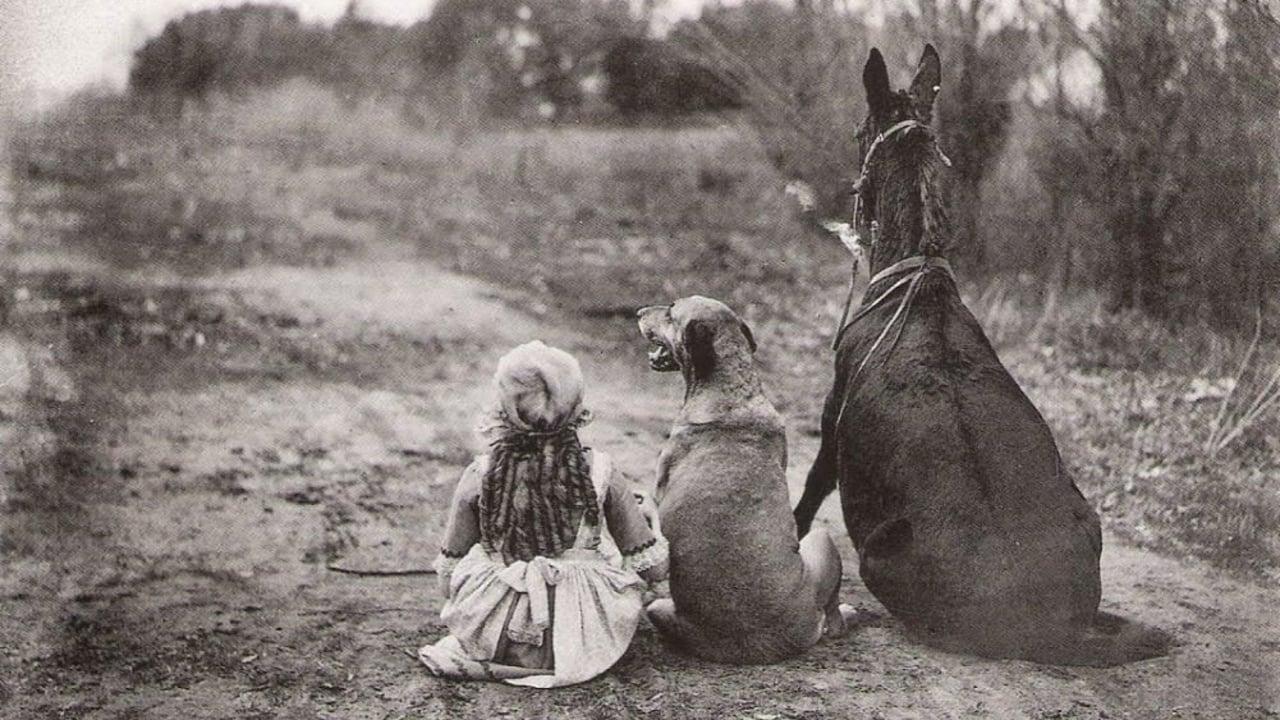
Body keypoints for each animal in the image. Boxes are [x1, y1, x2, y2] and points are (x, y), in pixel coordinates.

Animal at [793, 44, 1172, 666]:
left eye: (856, 131)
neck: (917, 274)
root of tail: (1046, 626)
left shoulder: (831, 432)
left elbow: (803, 500)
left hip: (878, 553)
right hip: (1087, 518)